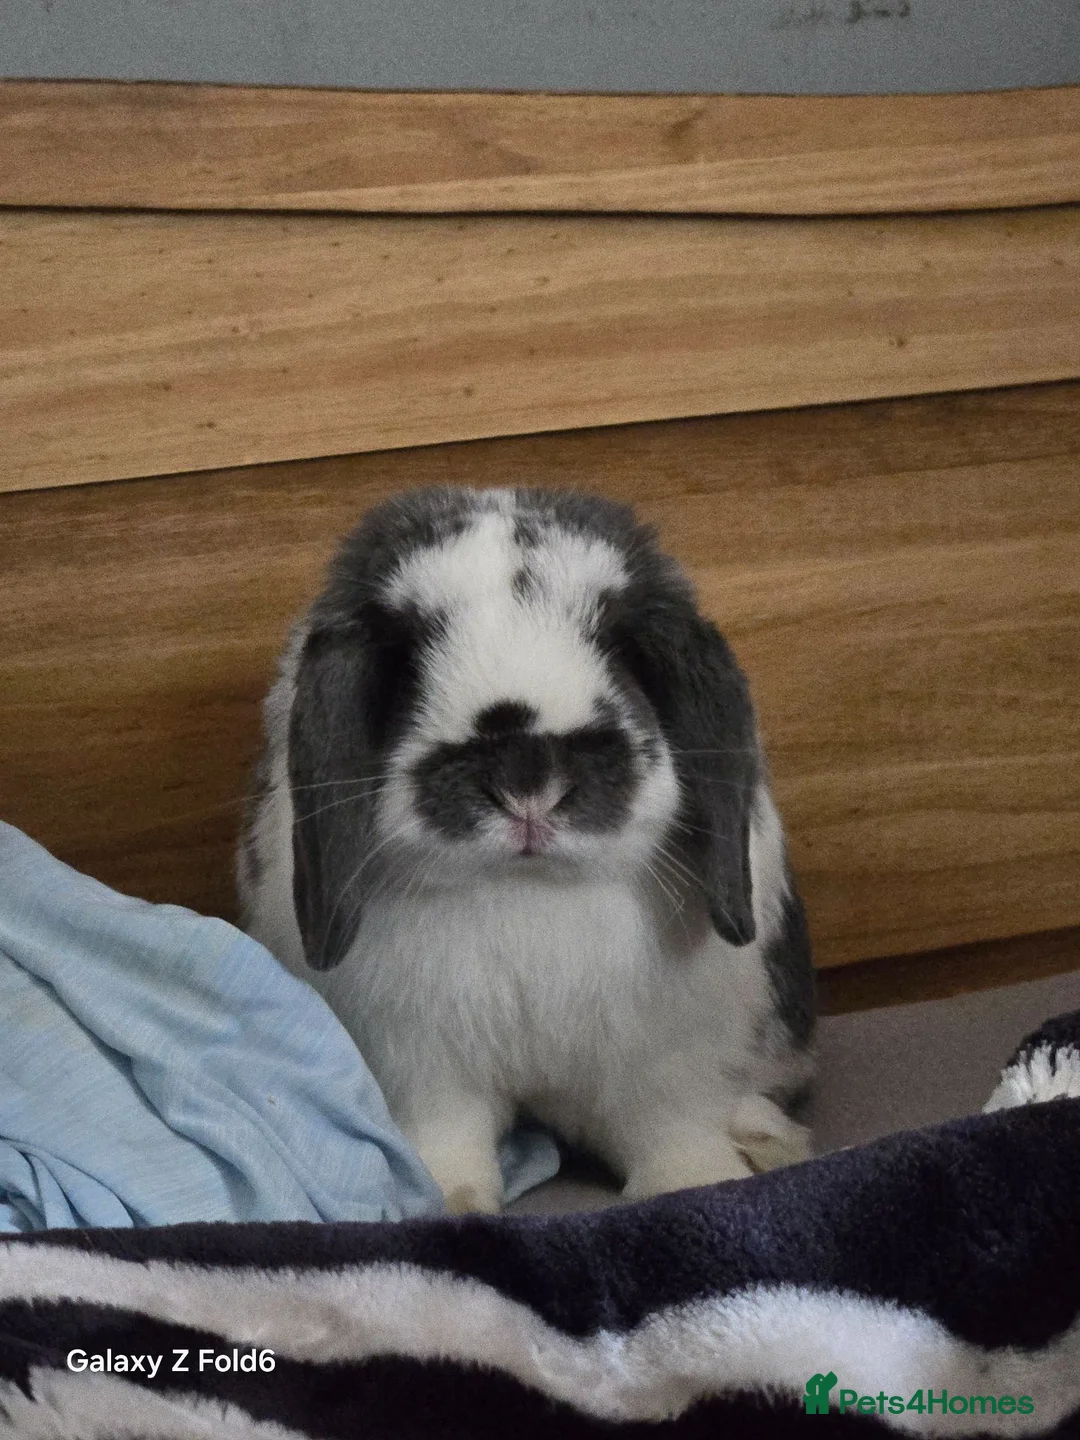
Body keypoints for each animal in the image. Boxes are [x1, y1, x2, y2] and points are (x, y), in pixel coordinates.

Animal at [238, 485, 815, 1213]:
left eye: (621, 644)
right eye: (408, 656)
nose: (526, 781)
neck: (528, 887)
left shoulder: (668, 1058)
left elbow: (671, 1128)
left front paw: (696, 1184)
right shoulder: (419, 1061)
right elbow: (447, 1139)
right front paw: (453, 1204)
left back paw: (770, 1141)